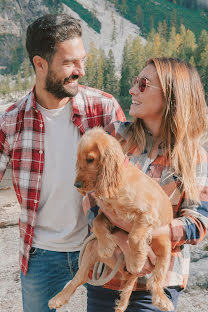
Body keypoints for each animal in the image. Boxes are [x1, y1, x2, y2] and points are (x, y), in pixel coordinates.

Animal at [48, 127, 174, 312]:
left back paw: (161, 299)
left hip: (165, 246)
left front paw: (137, 260)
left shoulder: (147, 213)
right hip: (90, 248)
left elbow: (134, 237)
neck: (118, 183)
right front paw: (106, 247)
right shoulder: (106, 213)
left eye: (90, 159)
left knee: (155, 279)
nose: (76, 185)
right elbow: (97, 223)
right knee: (80, 277)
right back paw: (59, 298)